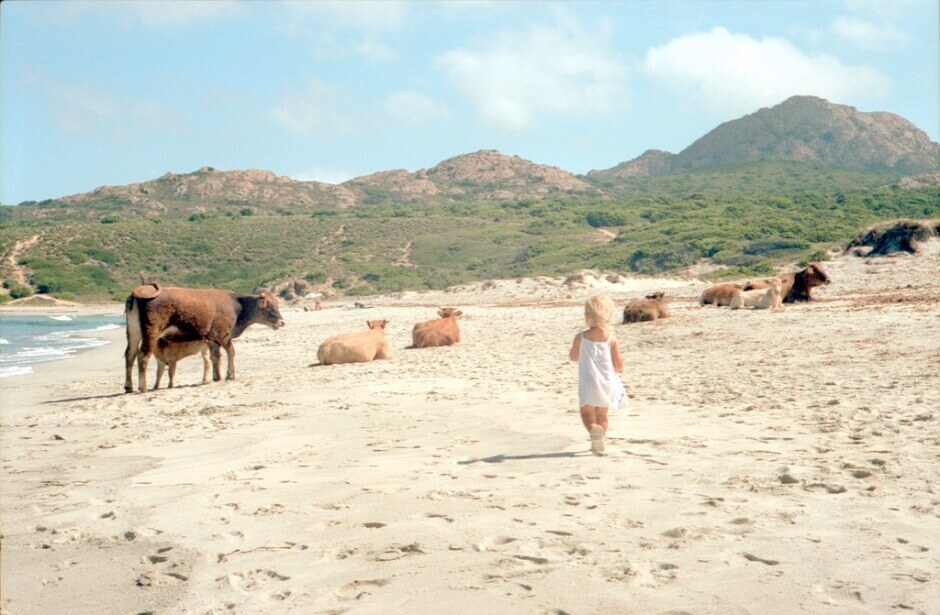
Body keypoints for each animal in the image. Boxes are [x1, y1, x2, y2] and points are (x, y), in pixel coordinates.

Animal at [126, 284, 284, 394]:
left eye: (277, 304)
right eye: (269, 306)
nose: (282, 322)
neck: (235, 305)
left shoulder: (212, 339)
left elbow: (215, 357)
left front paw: (217, 376)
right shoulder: (223, 335)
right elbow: (230, 352)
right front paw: (230, 375)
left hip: (133, 333)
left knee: (130, 355)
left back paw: (128, 387)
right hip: (151, 333)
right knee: (143, 356)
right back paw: (142, 387)